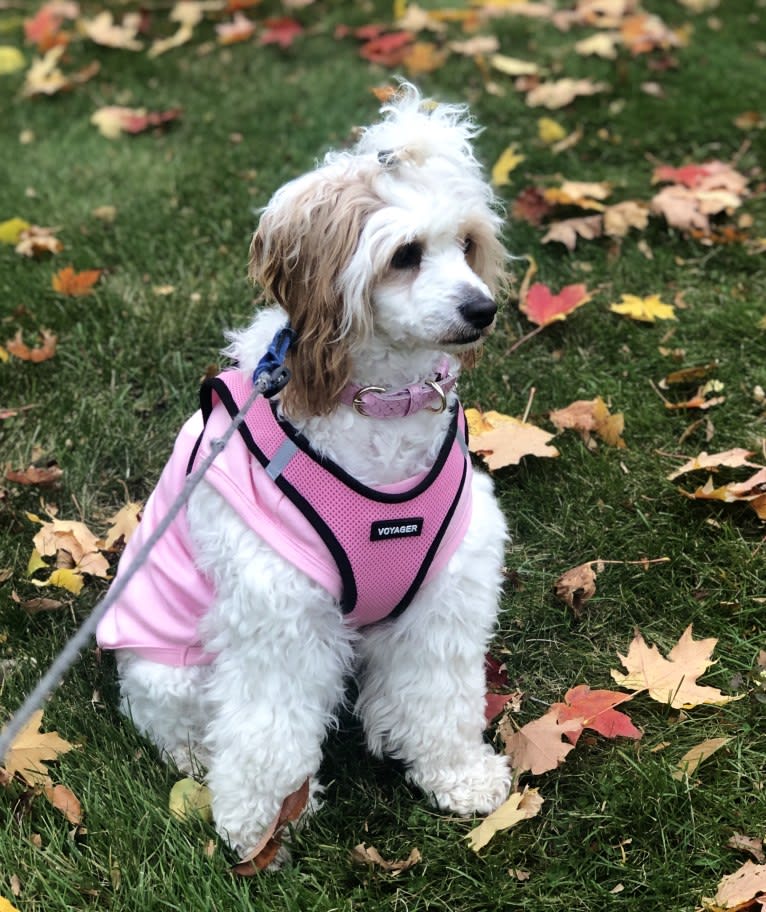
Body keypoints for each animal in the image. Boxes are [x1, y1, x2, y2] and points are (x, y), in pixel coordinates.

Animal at [99, 85, 512, 864]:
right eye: (405, 255)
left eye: (468, 243)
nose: (484, 309)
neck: (379, 403)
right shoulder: (278, 618)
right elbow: (266, 731)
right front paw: (260, 829)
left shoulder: (444, 598)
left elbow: (441, 695)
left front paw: (457, 774)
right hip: (167, 665)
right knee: (175, 721)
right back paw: (198, 759)